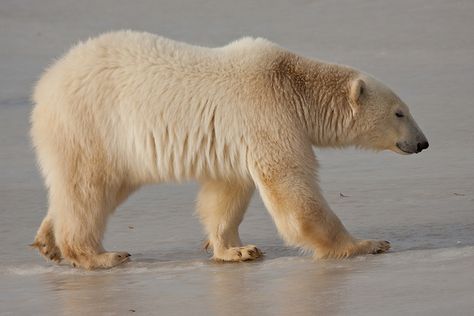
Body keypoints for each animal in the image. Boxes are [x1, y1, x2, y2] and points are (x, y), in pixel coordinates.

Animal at [30, 30, 430, 270]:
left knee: (92, 189)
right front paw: (368, 243)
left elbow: (226, 192)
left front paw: (236, 249)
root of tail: (45, 84)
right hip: (91, 124)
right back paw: (100, 254)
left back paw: (48, 241)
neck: (292, 84)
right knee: (88, 189)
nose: (423, 142)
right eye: (400, 112)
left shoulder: (237, 136)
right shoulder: (267, 110)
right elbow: (290, 186)